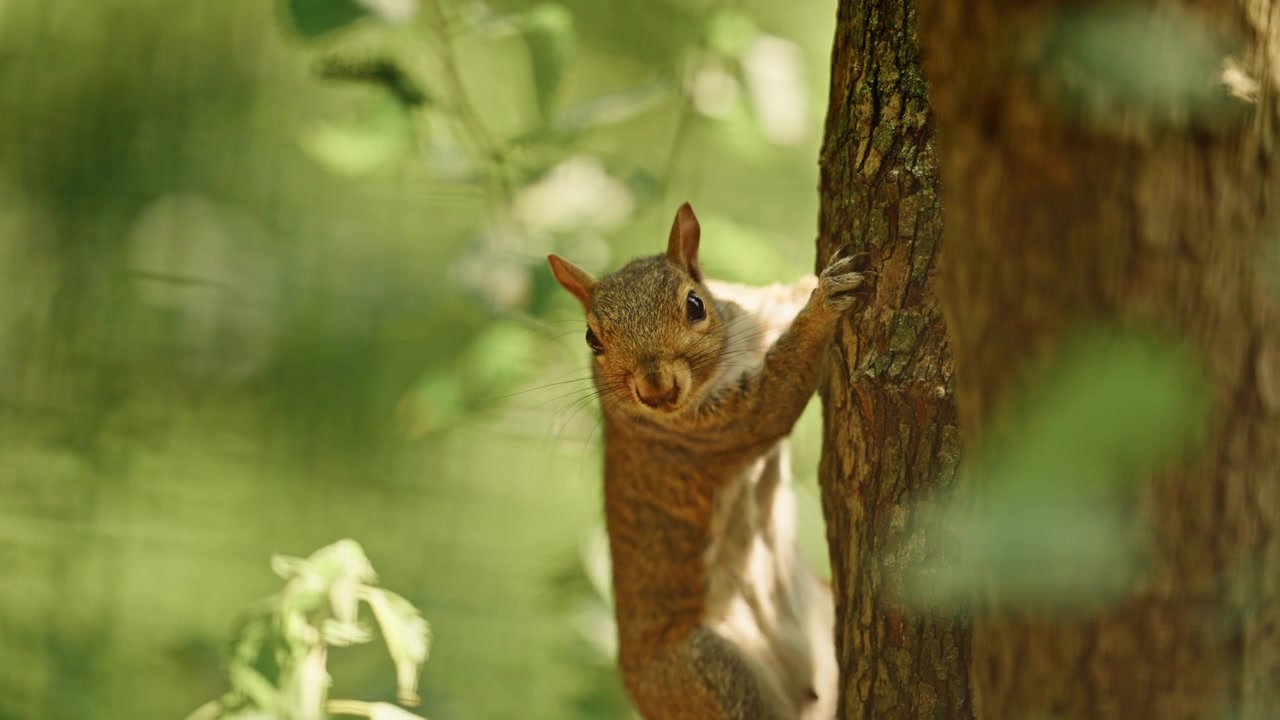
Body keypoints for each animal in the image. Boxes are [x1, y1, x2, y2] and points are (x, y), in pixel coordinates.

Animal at [547, 203, 866, 720]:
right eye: (592, 339)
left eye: (695, 305)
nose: (656, 391)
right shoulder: (713, 430)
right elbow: (777, 396)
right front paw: (825, 303)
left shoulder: (758, 308)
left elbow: (781, 297)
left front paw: (810, 285)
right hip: (708, 674)